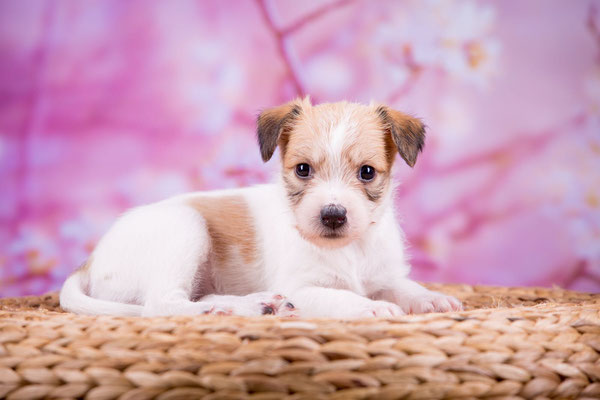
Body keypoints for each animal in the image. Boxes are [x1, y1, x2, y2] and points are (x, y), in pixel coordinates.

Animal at [59, 98, 460, 318]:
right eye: (303, 169)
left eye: (367, 172)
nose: (332, 214)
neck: (349, 251)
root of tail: (90, 262)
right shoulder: (299, 287)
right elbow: (338, 295)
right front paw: (368, 307)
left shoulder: (384, 275)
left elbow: (405, 286)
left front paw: (432, 298)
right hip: (185, 227)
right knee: (161, 304)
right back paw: (240, 307)